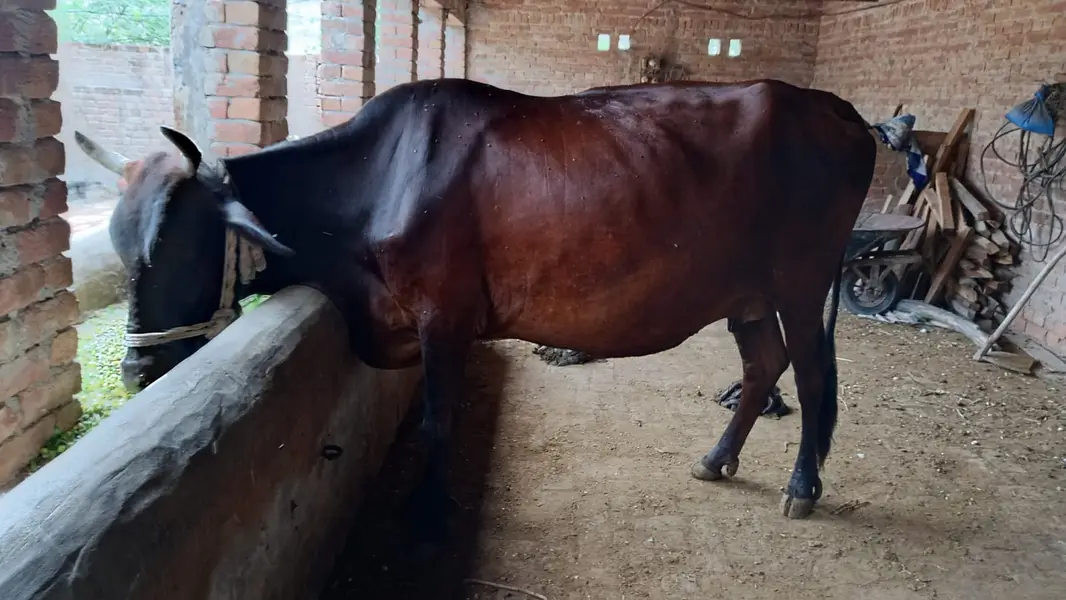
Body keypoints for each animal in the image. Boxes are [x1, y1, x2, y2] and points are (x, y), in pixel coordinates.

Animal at [74, 77, 878, 537]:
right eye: (117, 244)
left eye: (183, 248)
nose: (138, 370)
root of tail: (841, 112)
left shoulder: (444, 316)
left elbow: (439, 419)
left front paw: (430, 510)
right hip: (747, 292)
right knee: (763, 364)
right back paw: (716, 460)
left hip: (802, 279)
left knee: (810, 374)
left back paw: (802, 486)